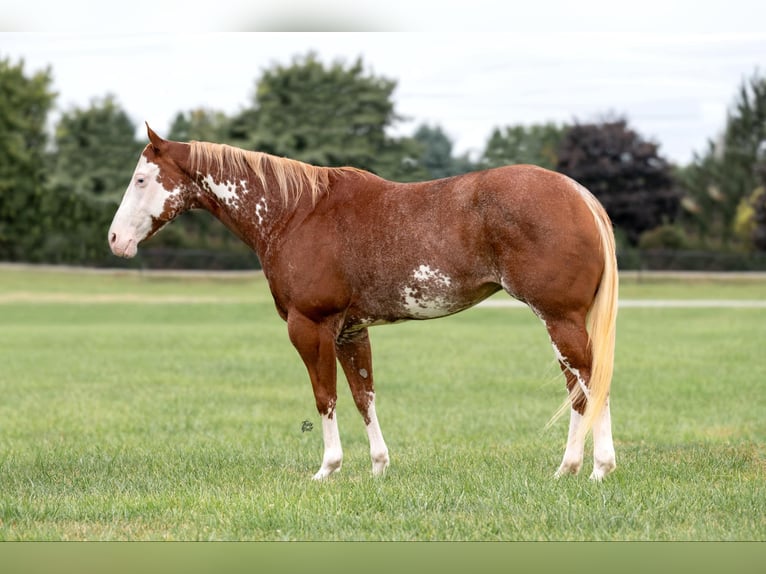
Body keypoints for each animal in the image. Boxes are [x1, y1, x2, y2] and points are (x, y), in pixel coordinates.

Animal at [108, 125, 620, 482]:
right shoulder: (351, 329)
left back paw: (599, 468)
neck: (296, 212)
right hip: (559, 323)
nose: (115, 239)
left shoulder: (309, 325)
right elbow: (363, 395)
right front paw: (378, 466)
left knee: (591, 383)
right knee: (579, 390)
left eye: (141, 179)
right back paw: (568, 469)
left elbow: (325, 396)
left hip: (559, 320)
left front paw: (328, 468)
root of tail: (578, 195)